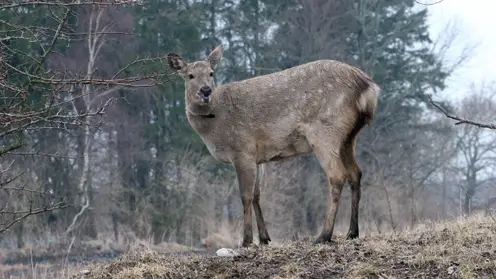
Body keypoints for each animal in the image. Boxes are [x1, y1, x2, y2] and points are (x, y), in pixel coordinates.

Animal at [167, 46, 380, 249]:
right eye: (190, 75)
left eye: (211, 73)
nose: (205, 91)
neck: (215, 123)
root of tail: (368, 87)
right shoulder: (258, 157)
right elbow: (256, 195)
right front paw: (264, 238)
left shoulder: (242, 150)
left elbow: (245, 196)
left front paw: (246, 240)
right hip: (348, 138)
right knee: (355, 173)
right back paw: (352, 232)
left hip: (325, 131)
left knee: (337, 175)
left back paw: (324, 235)